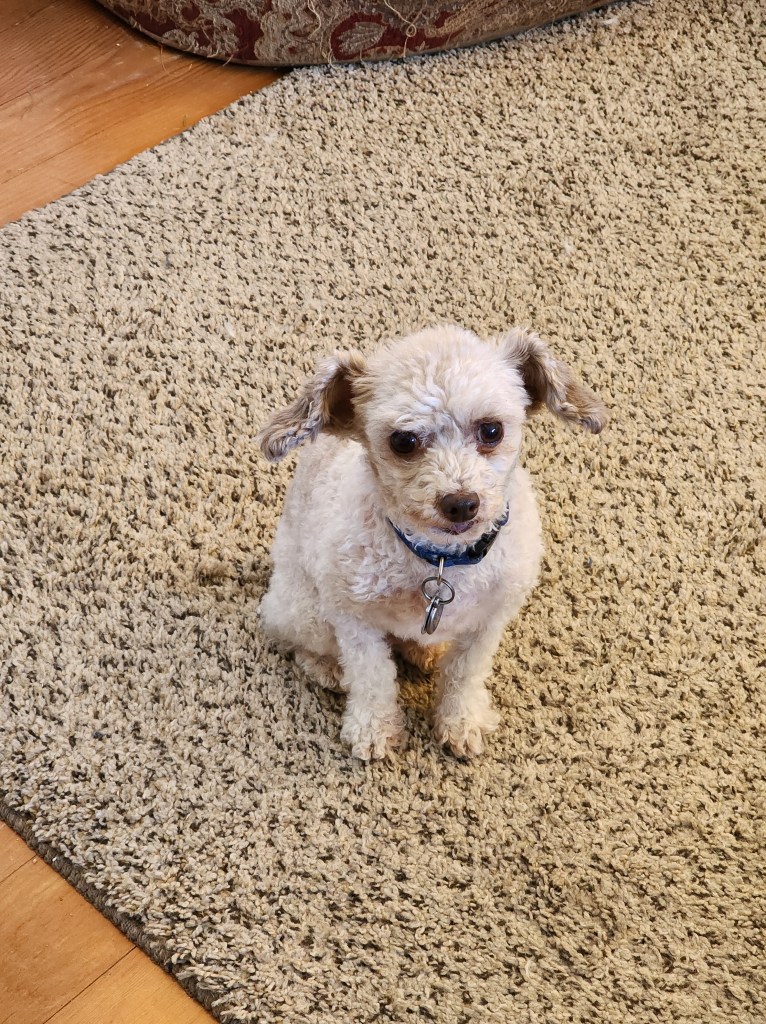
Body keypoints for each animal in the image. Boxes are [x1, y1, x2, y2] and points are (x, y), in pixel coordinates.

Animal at [257, 325, 606, 760]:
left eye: (492, 430)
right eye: (403, 441)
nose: (461, 503)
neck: (440, 561)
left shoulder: (490, 619)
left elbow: (465, 671)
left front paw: (461, 721)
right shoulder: (353, 619)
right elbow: (371, 676)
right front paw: (373, 729)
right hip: (306, 612)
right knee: (298, 642)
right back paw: (328, 667)